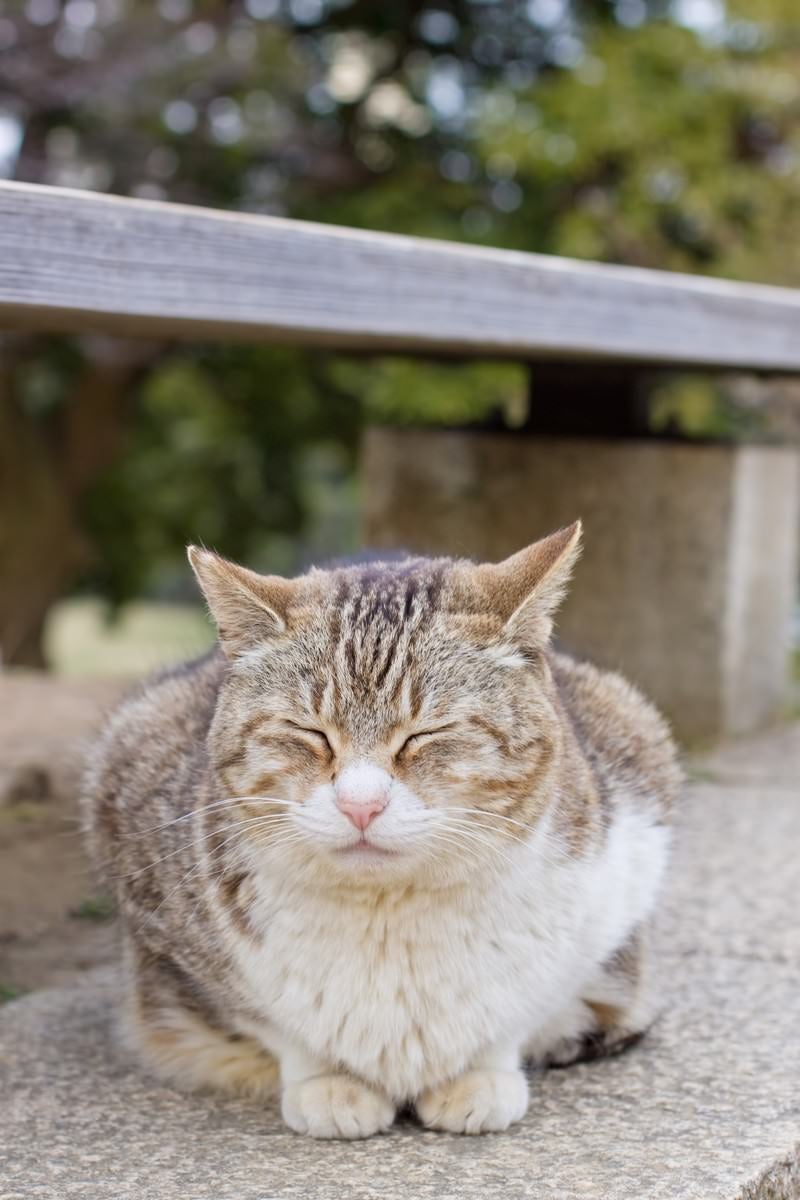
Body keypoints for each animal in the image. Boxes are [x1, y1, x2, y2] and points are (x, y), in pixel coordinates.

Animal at [82, 520, 681, 1137]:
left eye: (426, 733)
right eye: (310, 732)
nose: (360, 805)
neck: (389, 918)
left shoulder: (624, 856)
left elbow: (519, 1007)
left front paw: (481, 1073)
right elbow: (276, 1023)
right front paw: (327, 1082)